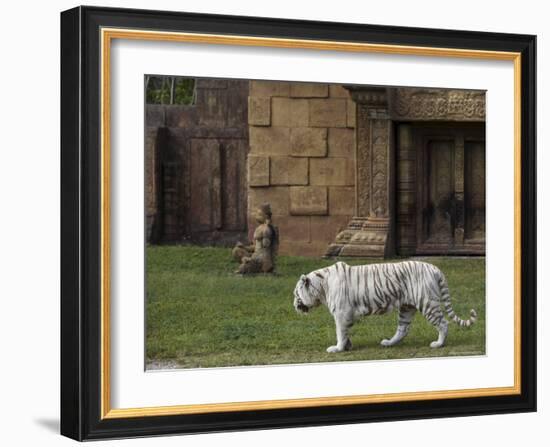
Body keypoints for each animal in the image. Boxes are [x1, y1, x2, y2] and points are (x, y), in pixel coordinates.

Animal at [294, 262, 478, 354]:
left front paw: (337, 349)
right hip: (406, 307)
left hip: (427, 303)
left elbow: (340, 332)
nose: (294, 306)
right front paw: (347, 346)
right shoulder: (345, 315)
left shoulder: (341, 313)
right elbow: (345, 332)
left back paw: (438, 344)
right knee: (403, 329)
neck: (321, 288)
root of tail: (434, 268)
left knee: (443, 323)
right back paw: (388, 343)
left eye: (296, 294)